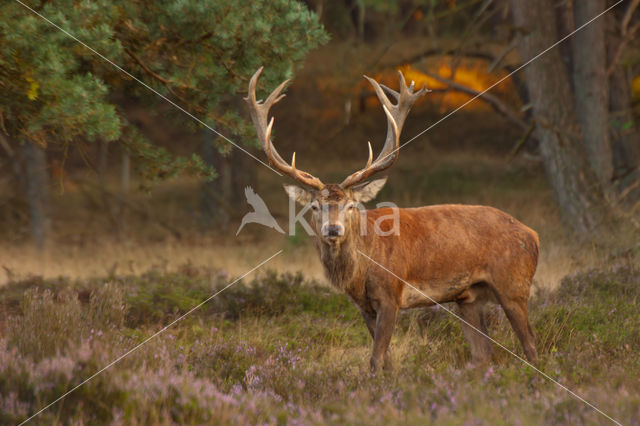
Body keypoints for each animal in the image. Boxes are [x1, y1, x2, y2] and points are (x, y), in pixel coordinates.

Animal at [245, 66, 540, 372]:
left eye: (351, 205)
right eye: (315, 206)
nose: (333, 229)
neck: (361, 269)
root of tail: (533, 235)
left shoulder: (391, 294)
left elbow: (376, 358)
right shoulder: (364, 306)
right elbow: (386, 360)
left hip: (513, 284)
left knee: (531, 343)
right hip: (468, 297)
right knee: (483, 352)